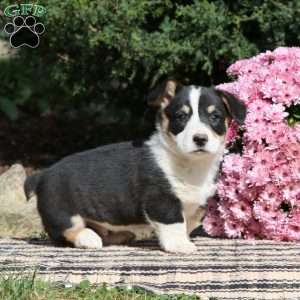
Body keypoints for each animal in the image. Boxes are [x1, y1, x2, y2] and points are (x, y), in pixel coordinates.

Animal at [24, 80, 246, 253]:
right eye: (181, 117)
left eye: (215, 117)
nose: (200, 139)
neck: (191, 165)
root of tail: (42, 174)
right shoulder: (161, 200)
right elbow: (174, 223)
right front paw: (180, 245)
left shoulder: (197, 205)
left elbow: (188, 223)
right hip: (61, 212)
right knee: (64, 232)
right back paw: (88, 238)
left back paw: (119, 235)